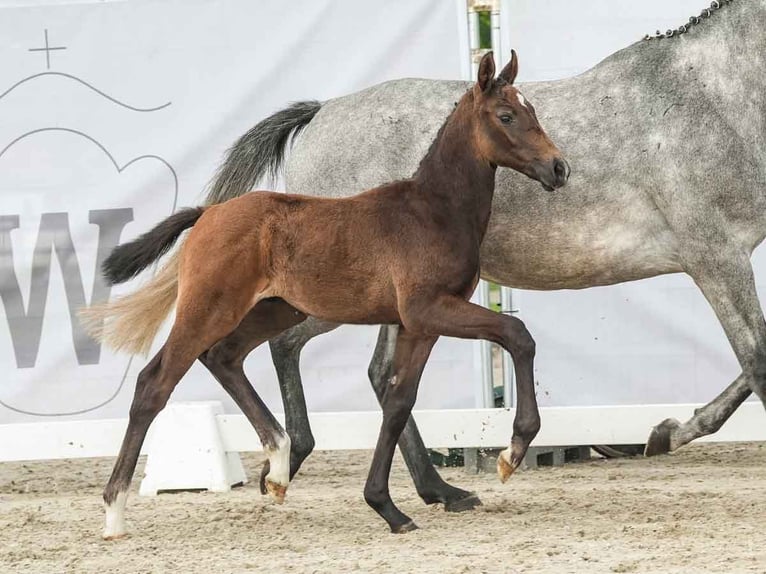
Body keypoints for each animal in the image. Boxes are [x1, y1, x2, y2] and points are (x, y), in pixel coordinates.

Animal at [91, 51, 568, 536]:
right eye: (506, 115)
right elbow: (517, 334)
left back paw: (279, 465)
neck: (433, 209)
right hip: (209, 309)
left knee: (223, 357)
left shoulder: (418, 323)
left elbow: (398, 400)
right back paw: (114, 512)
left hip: (276, 311)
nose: (558, 168)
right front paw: (512, 453)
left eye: (532, 111)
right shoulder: (430, 309)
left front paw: (388, 506)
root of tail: (208, 213)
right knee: (155, 383)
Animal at [204, 0, 766, 512]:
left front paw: (665, 432)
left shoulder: (723, 259)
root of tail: (321, 113)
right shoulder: (714, 255)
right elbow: (757, 361)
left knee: (379, 375)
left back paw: (436, 491)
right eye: (507, 115)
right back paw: (292, 459)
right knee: (287, 347)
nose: (559, 170)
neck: (713, 97)